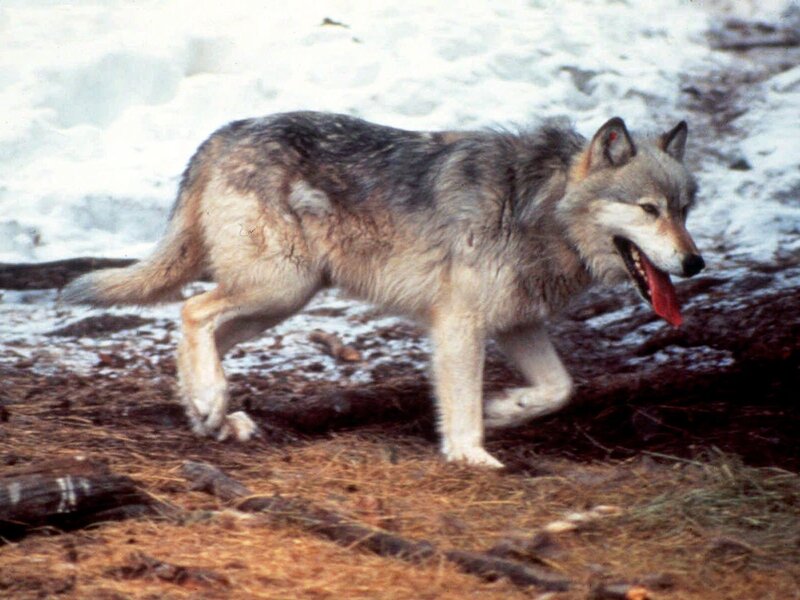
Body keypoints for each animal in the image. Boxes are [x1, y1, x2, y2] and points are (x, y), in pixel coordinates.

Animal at [63, 111, 704, 468]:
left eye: (684, 210)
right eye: (648, 210)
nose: (695, 262)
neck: (537, 207)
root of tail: (222, 134)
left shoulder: (518, 323)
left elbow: (559, 389)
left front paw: (504, 410)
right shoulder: (459, 324)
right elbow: (462, 405)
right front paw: (470, 454)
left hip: (282, 298)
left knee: (200, 330)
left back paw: (214, 415)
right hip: (280, 286)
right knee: (192, 311)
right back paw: (211, 403)